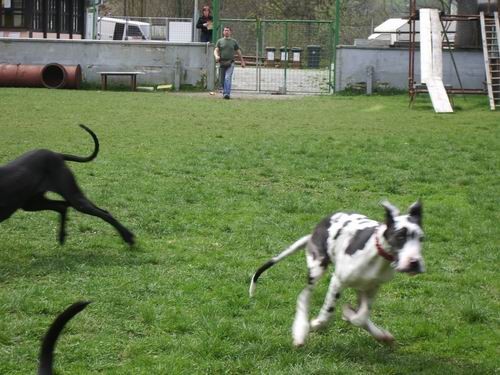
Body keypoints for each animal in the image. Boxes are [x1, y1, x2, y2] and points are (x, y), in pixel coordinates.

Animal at [248, 201, 424, 348]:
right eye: (400, 236)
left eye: (421, 238)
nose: (414, 262)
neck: (376, 254)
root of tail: (316, 230)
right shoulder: (337, 281)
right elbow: (328, 311)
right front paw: (316, 324)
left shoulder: (372, 288)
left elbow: (360, 317)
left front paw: (350, 315)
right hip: (317, 267)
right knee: (304, 296)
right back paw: (300, 331)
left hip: (359, 286)